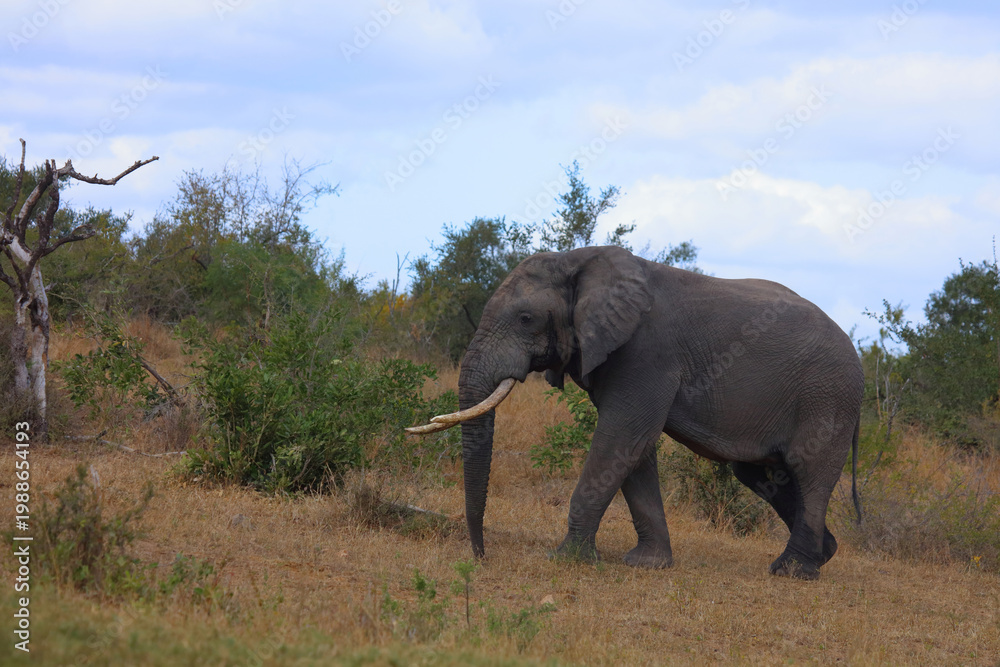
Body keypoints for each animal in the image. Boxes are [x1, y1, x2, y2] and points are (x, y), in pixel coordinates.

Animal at [409, 245, 864, 580]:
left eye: (525, 318)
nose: (481, 557)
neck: (578, 261)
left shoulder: (646, 353)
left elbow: (622, 436)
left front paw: (565, 559)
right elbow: (636, 449)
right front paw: (648, 565)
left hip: (828, 396)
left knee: (808, 471)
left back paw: (792, 571)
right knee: (761, 475)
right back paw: (823, 554)